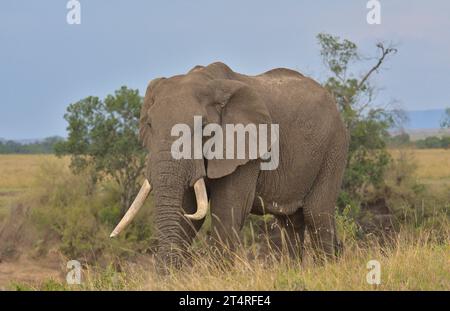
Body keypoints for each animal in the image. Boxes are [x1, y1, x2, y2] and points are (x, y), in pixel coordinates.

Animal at [110, 61, 350, 268]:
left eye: (203, 127)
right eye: (150, 125)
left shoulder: (245, 148)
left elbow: (227, 213)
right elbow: (186, 213)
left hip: (334, 148)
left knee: (316, 214)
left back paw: (325, 270)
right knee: (291, 222)